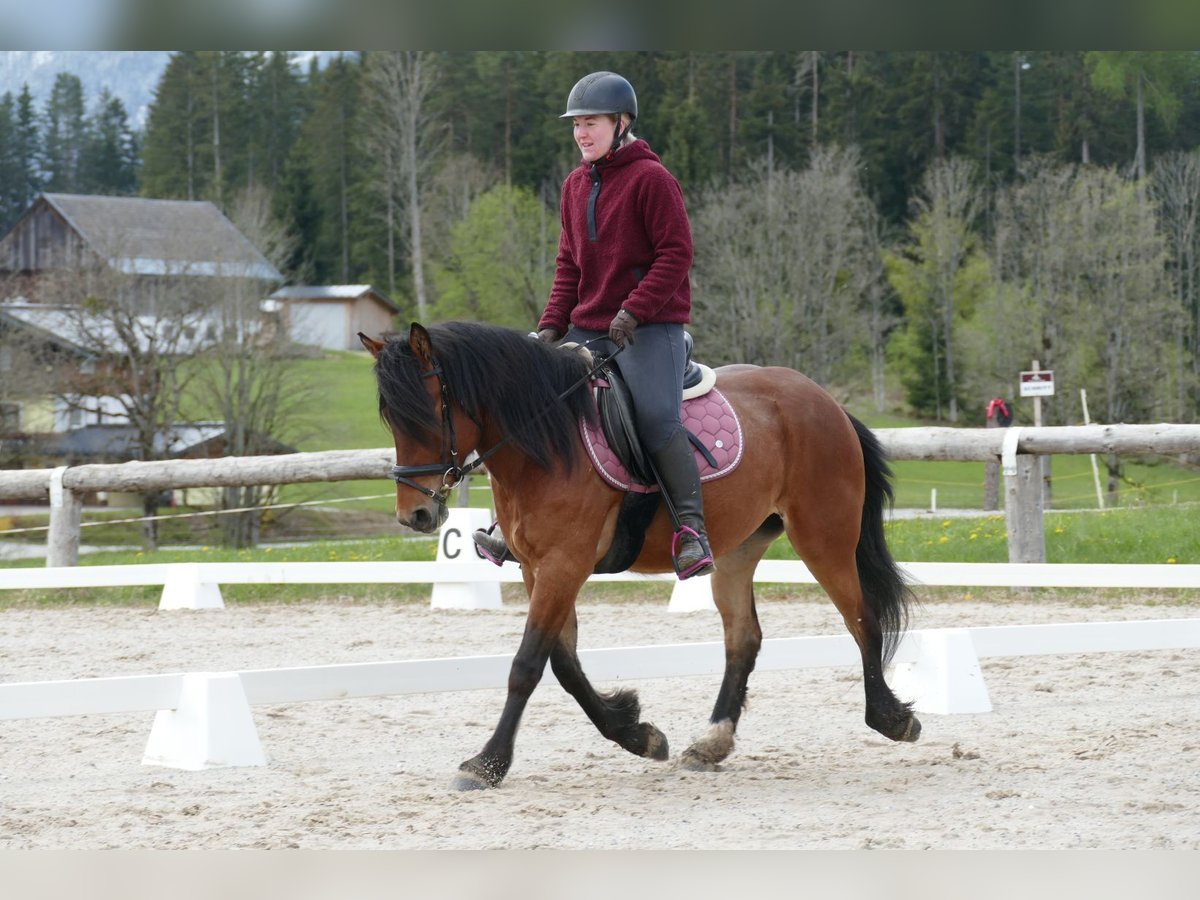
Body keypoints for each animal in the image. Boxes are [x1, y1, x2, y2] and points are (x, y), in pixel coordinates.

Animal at [355, 321, 916, 792]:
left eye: (428, 414)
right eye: (389, 419)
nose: (416, 515)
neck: (545, 440)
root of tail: (826, 401)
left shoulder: (564, 564)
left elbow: (527, 664)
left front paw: (487, 763)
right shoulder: (539, 569)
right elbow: (563, 662)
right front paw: (637, 732)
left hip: (823, 536)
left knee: (862, 619)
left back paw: (892, 718)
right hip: (738, 549)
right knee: (744, 639)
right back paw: (711, 743)